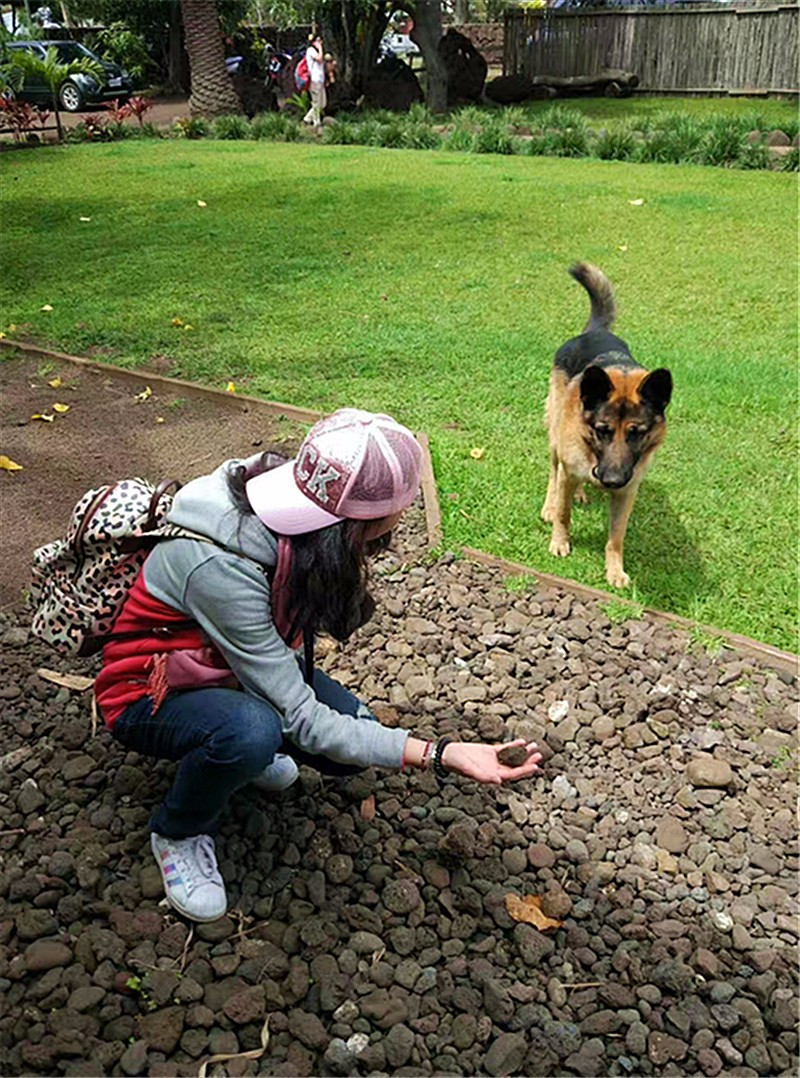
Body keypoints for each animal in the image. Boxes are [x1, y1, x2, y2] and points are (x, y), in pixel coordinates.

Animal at [541, 267, 672, 590]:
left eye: (637, 432)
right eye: (603, 429)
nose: (612, 480)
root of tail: (593, 331)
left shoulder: (627, 493)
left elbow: (616, 537)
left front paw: (615, 570)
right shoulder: (572, 464)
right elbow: (564, 514)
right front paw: (560, 542)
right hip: (555, 437)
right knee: (554, 472)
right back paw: (550, 504)